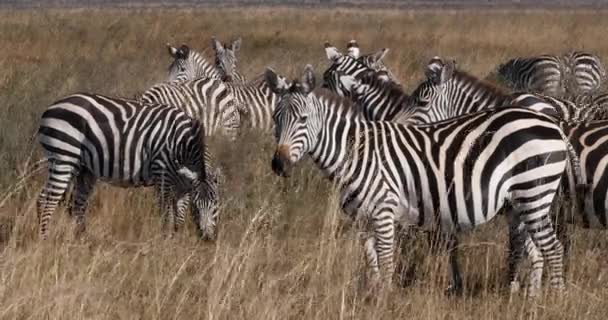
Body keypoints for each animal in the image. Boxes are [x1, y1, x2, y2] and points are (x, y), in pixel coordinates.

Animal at [36, 94, 220, 239]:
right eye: (197, 207)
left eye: (215, 204)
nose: (207, 238)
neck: (183, 145)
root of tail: (50, 108)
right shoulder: (162, 173)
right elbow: (166, 213)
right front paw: (165, 241)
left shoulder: (184, 185)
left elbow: (179, 216)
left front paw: (176, 240)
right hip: (63, 156)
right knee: (47, 199)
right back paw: (45, 240)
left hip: (84, 169)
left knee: (77, 205)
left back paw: (81, 240)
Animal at [268, 65, 568, 298]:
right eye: (275, 118)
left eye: (303, 119)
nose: (278, 165)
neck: (357, 154)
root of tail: (551, 122)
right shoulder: (362, 219)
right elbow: (371, 259)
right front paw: (374, 295)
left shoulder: (384, 210)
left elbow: (387, 259)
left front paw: (384, 300)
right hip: (520, 203)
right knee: (532, 250)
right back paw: (528, 299)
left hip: (534, 193)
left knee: (553, 249)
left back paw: (555, 300)